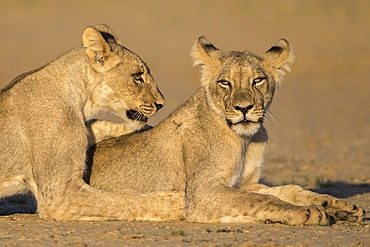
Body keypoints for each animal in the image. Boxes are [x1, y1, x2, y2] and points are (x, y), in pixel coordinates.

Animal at [0, 24, 185, 220]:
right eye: (137, 76)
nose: (161, 103)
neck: (81, 99)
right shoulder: (58, 195)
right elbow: (122, 199)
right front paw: (178, 203)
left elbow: (95, 124)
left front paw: (137, 129)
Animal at [88, 37, 366, 226]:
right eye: (225, 83)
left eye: (257, 80)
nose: (244, 108)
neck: (246, 140)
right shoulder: (201, 193)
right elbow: (263, 200)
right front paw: (307, 212)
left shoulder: (248, 182)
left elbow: (290, 191)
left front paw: (339, 206)